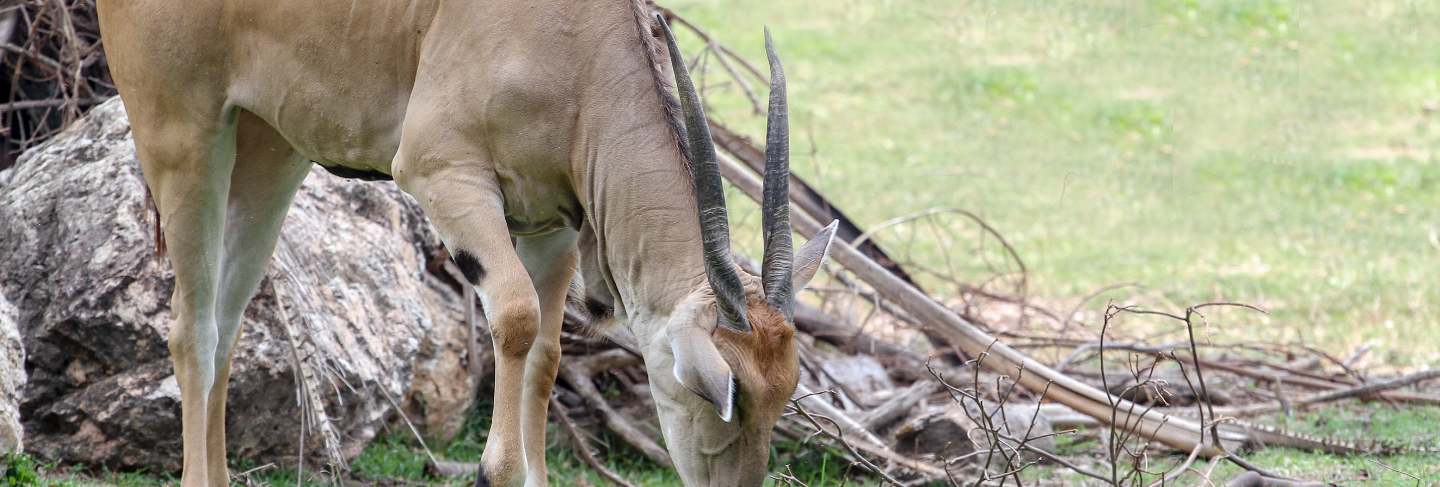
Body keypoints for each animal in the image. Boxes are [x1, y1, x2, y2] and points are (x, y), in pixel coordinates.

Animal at [95, 0, 829, 487]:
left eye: (786, 390)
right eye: (722, 391)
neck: (577, 45)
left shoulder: (552, 225)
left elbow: (546, 353)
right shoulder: (444, 175)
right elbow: (516, 319)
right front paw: (492, 466)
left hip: (268, 151)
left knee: (226, 320)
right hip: (183, 137)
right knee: (192, 329)